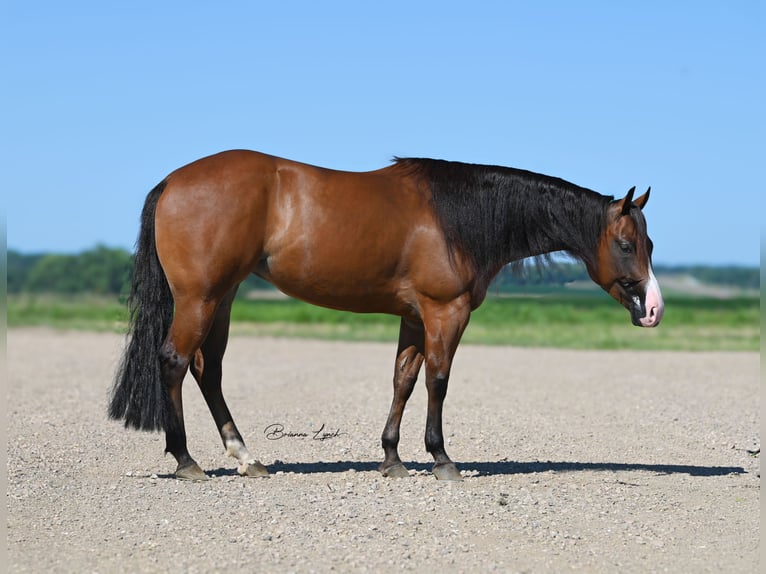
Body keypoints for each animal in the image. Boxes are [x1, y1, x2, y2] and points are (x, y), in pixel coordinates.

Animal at [109, 151, 664, 484]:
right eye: (626, 244)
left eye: (651, 244)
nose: (653, 309)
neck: (457, 218)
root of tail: (173, 181)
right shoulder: (446, 312)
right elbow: (438, 381)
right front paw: (441, 459)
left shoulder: (415, 317)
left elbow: (404, 379)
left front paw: (392, 458)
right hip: (199, 298)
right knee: (175, 361)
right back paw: (187, 460)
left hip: (221, 298)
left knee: (209, 370)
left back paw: (247, 458)